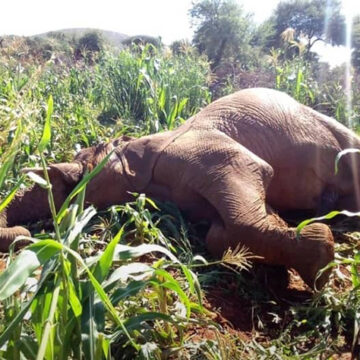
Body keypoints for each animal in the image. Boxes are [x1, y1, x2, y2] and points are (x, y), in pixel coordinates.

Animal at [0, 88, 360, 290]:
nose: (26, 236)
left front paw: (320, 267)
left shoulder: (207, 151)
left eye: (73, 177)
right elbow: (222, 232)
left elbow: (252, 182)